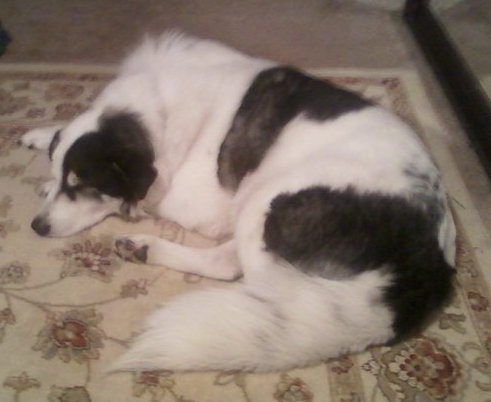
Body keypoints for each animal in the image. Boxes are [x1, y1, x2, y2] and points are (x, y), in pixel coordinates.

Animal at [20, 33, 458, 372]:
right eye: (67, 177)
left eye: (83, 184)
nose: (36, 227)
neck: (154, 108)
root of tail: (430, 263)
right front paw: (43, 139)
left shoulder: (189, 197)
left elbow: (141, 199)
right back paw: (143, 248)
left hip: (269, 198)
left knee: (245, 274)